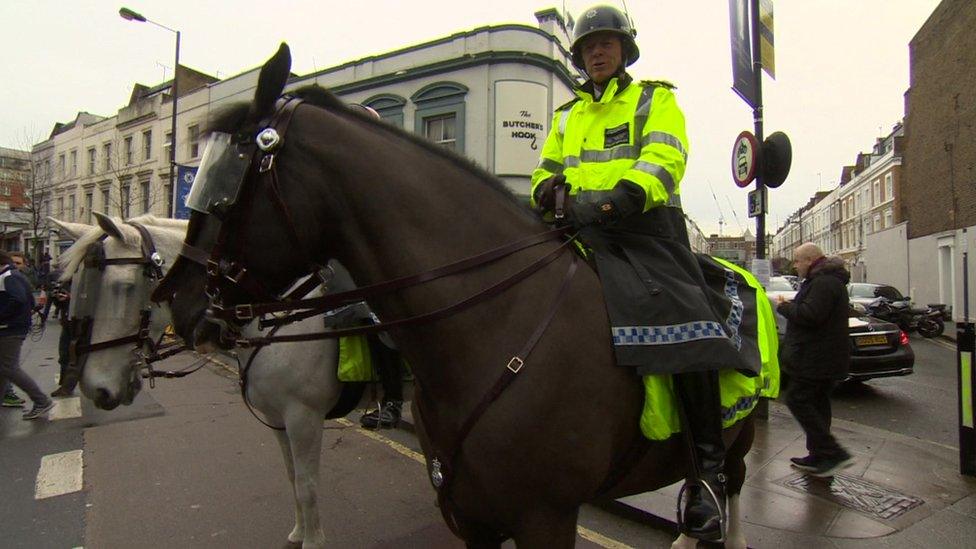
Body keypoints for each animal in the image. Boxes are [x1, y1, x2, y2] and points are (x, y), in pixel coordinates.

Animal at [53, 213, 346, 548]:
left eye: (122, 287)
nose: (95, 389)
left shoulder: (303, 417)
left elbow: (308, 486)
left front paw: (313, 540)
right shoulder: (279, 418)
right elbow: (293, 476)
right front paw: (298, 532)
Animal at [158, 45, 756, 544]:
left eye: (226, 186)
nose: (180, 304)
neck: (497, 326)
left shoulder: (545, 517)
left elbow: (303, 486)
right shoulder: (470, 512)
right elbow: (295, 483)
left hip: (735, 435)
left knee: (729, 488)